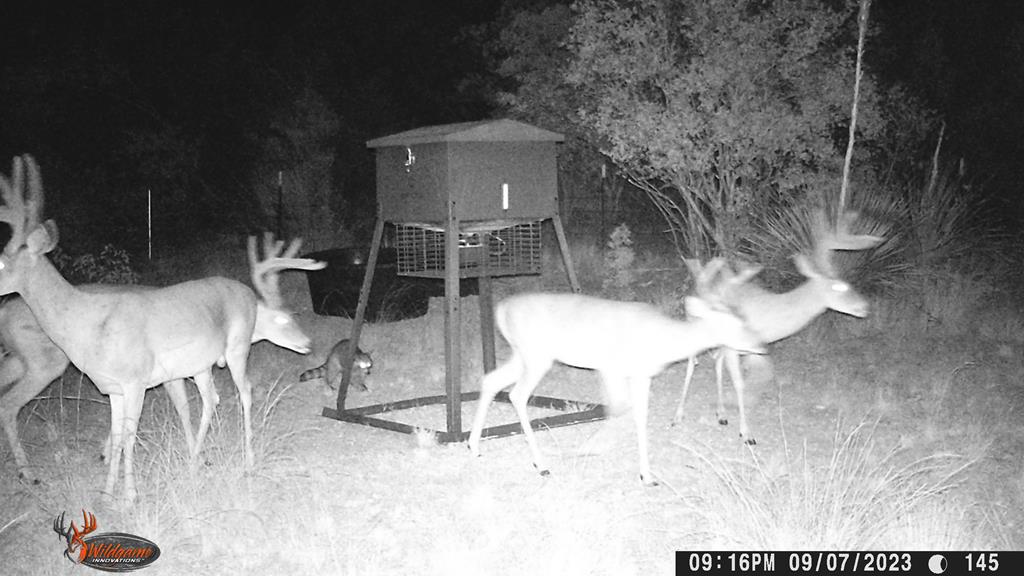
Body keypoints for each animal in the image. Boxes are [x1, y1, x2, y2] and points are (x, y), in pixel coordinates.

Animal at [0, 155, 322, 504]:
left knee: (244, 391)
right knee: (213, 398)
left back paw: (246, 460)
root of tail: (247, 293)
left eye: (1, 262)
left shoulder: (137, 380)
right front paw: (107, 493)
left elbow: (130, 434)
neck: (87, 323)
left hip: (236, 348)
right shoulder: (113, 387)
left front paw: (130, 494)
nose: (308, 343)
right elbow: (120, 433)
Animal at [467, 278, 765, 487]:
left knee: (491, 380)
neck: (666, 338)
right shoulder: (613, 369)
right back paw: (540, 464)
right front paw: (592, 449)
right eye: (734, 322)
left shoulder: (641, 375)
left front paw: (647, 475)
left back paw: (474, 446)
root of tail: (501, 309)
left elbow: (639, 416)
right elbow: (618, 410)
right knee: (517, 394)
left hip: (523, 355)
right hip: (536, 355)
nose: (760, 346)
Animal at [673, 211, 884, 444]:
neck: (767, 315)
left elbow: (756, 378)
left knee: (715, 363)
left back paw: (721, 415)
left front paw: (739, 423)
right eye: (838, 286)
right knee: (692, 363)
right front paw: (747, 434)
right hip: (696, 325)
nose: (865, 307)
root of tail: (692, 288)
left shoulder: (751, 349)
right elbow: (740, 383)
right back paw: (678, 415)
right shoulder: (735, 345)